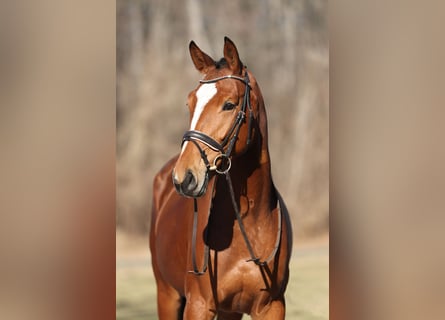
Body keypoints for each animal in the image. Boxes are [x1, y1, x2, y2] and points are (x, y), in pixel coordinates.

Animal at [151, 36, 294, 318]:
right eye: (190, 104)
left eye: (229, 104)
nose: (183, 178)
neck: (249, 222)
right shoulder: (198, 305)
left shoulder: (271, 307)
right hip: (167, 295)